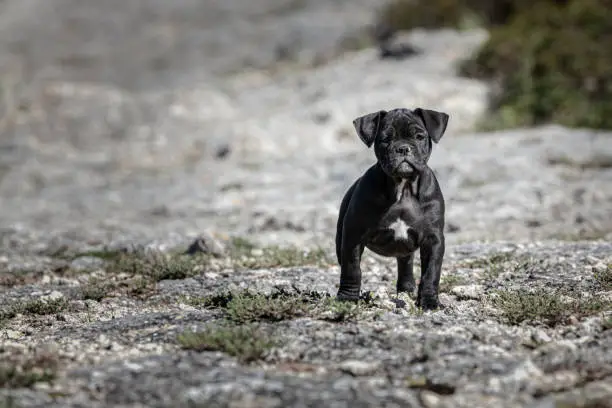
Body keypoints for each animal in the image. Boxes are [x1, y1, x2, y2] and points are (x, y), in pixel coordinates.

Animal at [334, 107, 450, 310]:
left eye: (419, 136)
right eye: (385, 139)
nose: (403, 148)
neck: (403, 187)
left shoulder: (433, 239)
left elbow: (431, 273)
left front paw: (429, 302)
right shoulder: (353, 236)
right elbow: (351, 269)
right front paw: (347, 298)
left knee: (406, 264)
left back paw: (407, 290)